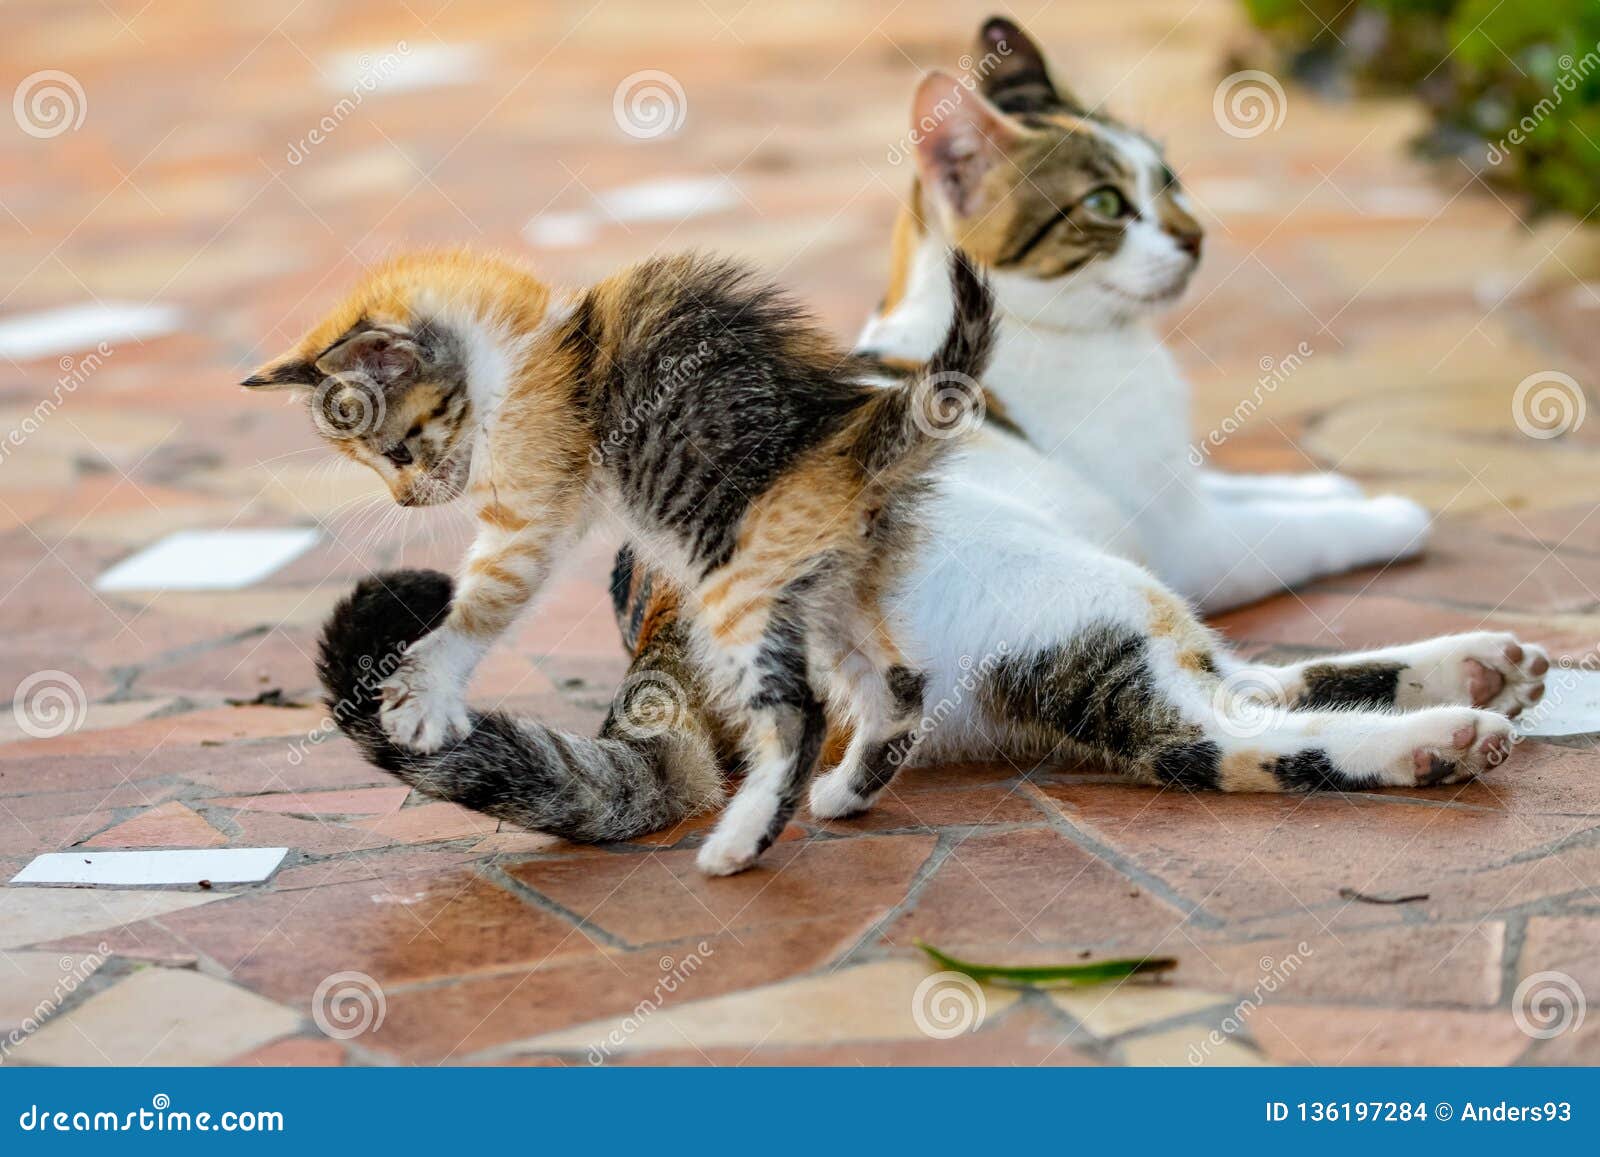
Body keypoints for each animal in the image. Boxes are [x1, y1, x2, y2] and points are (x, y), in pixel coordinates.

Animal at [243, 246, 992, 876]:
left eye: (396, 452)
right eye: (378, 465)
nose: (404, 500)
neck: (519, 353)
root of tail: (855, 446)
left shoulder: (529, 508)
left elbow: (482, 600)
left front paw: (425, 690)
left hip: (736, 581)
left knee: (799, 713)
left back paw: (741, 839)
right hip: (826, 588)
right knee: (897, 683)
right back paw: (846, 793)